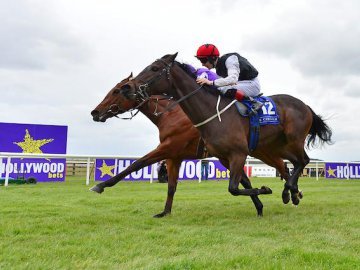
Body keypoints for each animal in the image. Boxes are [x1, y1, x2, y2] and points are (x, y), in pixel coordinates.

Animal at [91, 73, 274, 215]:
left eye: (116, 90)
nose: (95, 112)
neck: (171, 116)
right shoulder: (174, 157)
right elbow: (171, 186)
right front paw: (165, 212)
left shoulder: (167, 148)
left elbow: (136, 164)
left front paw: (101, 185)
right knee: (245, 180)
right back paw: (259, 206)